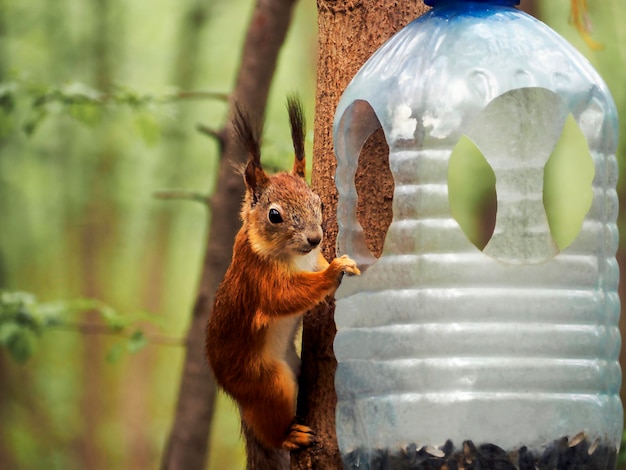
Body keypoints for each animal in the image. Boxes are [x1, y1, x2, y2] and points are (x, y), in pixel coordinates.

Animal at [206, 95, 360, 452]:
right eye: (274, 215)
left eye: (319, 202)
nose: (316, 238)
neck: (294, 257)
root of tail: (234, 393)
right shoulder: (257, 278)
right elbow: (283, 298)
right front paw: (336, 271)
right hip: (267, 383)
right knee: (271, 424)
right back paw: (290, 435)